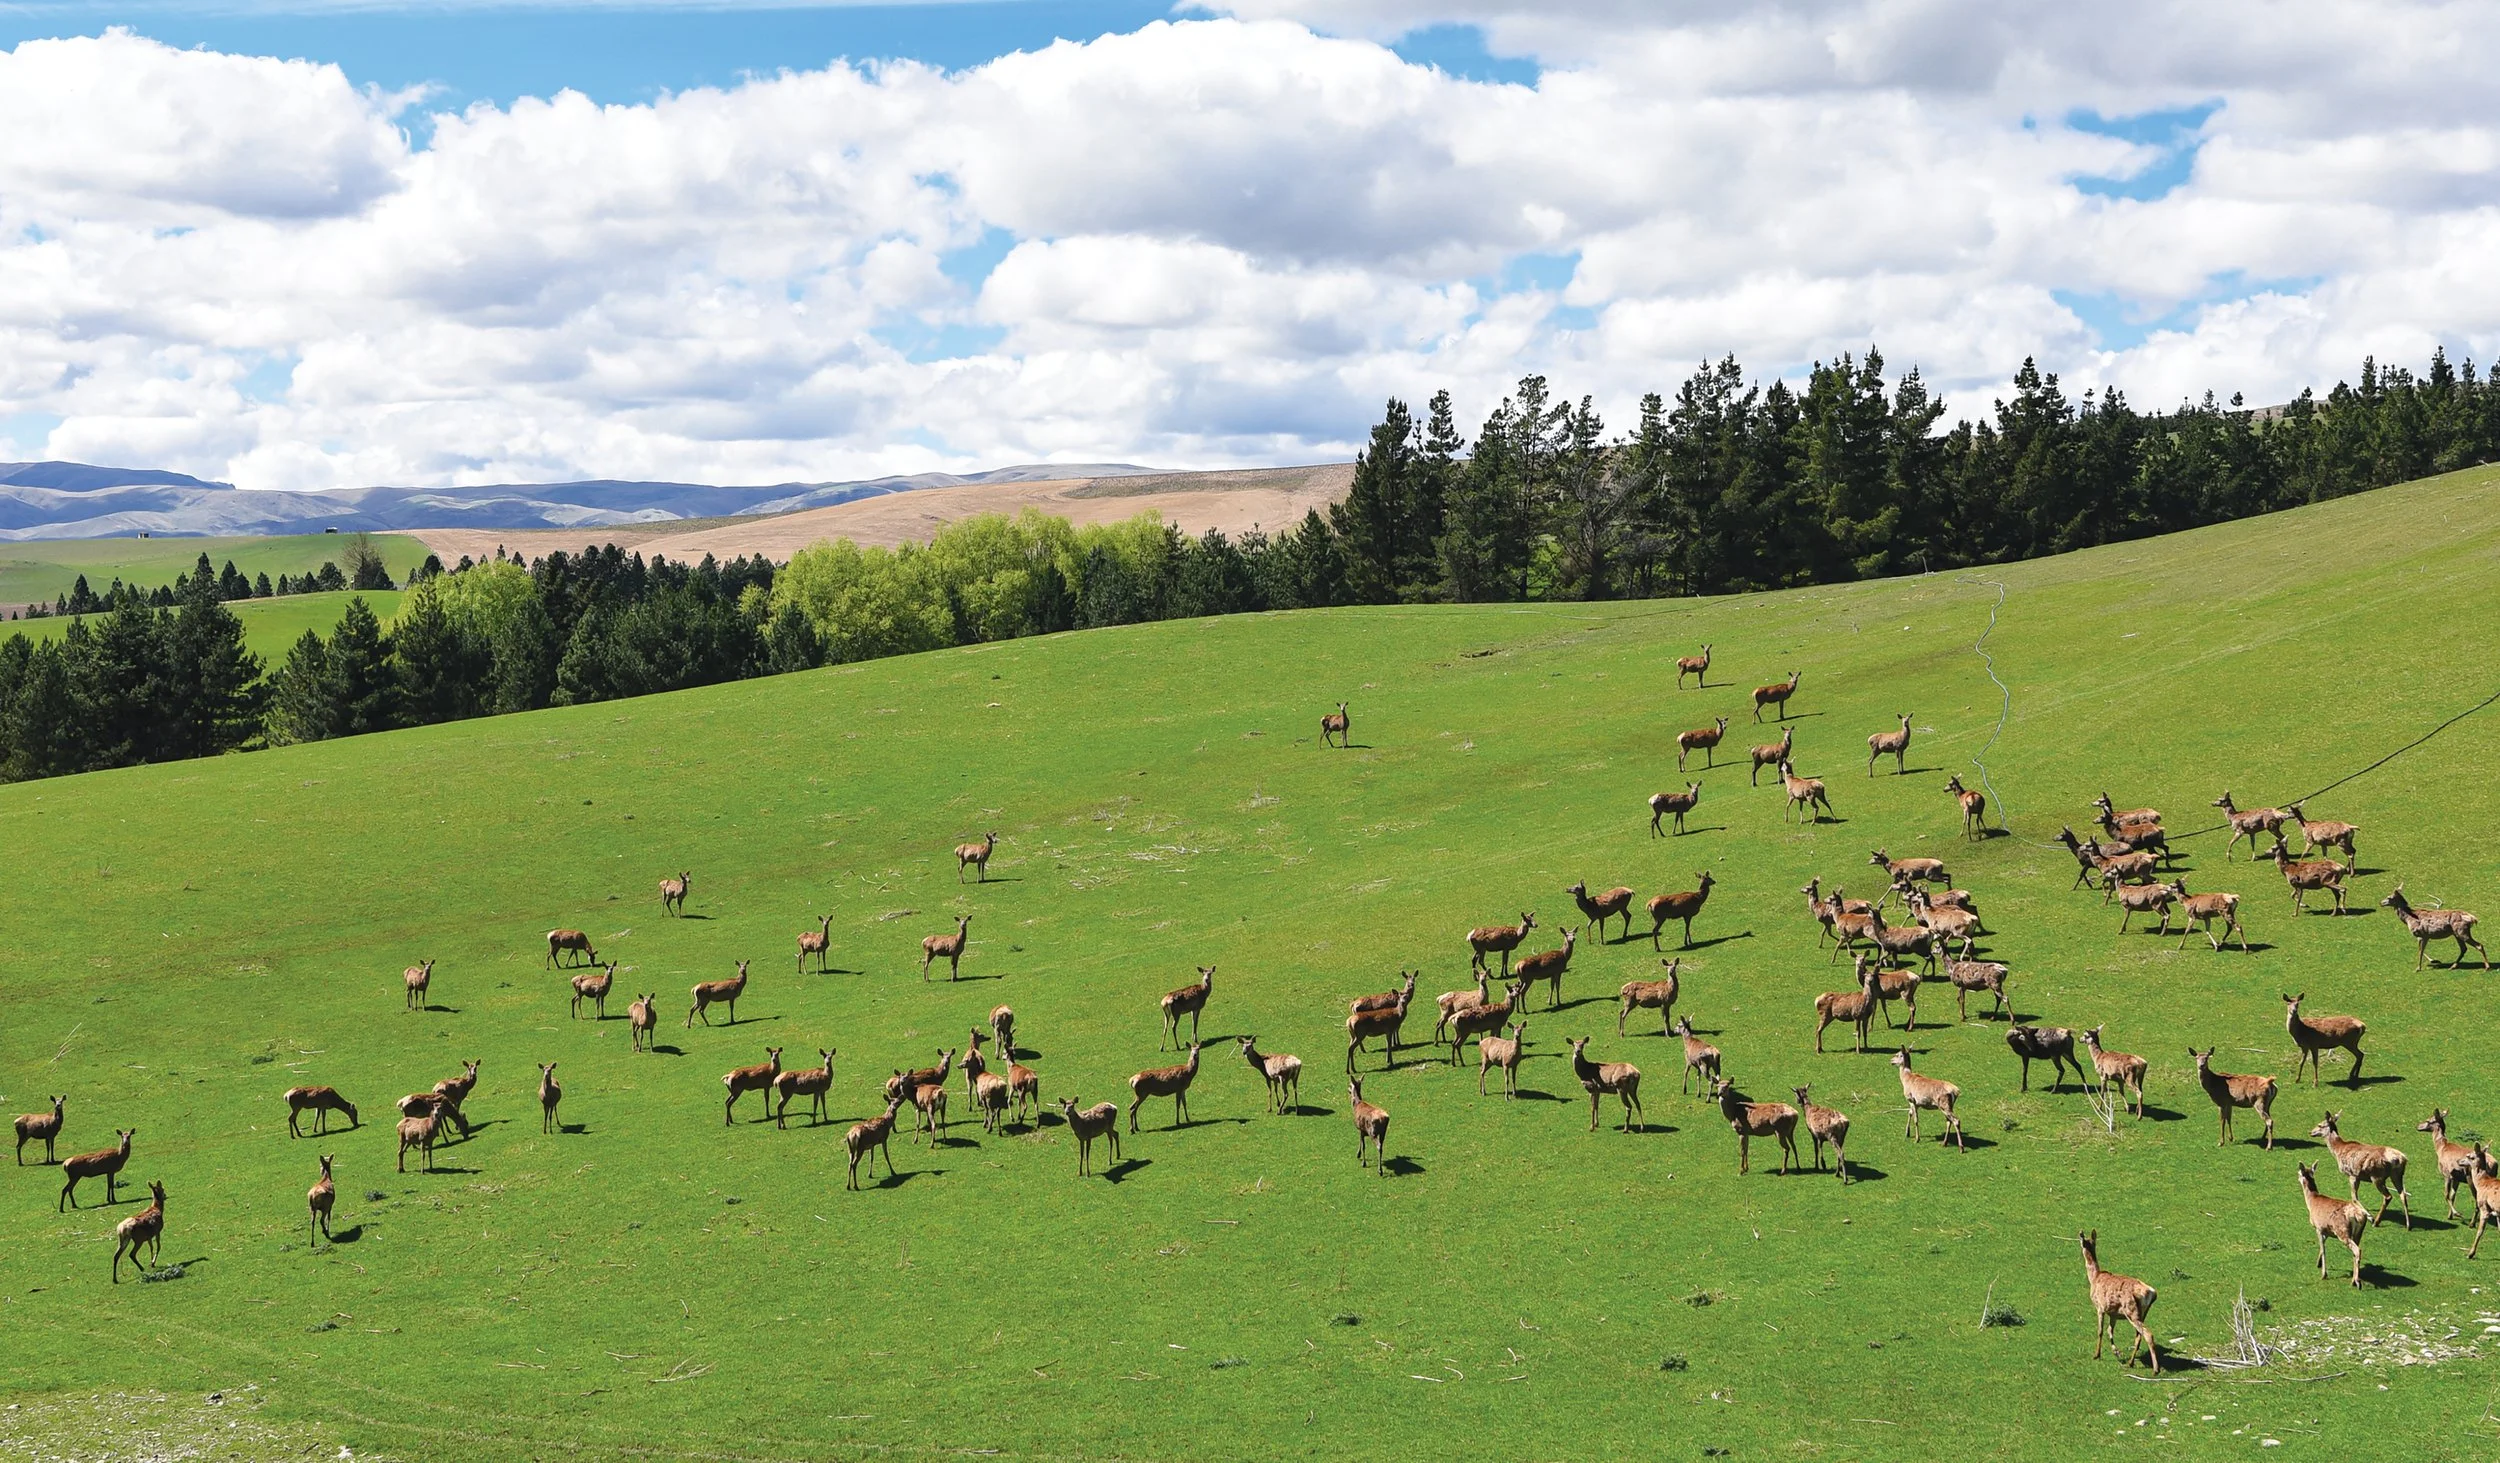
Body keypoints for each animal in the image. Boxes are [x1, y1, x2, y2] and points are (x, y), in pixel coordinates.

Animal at [2078, 1231, 2158, 1371]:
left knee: (2147, 1334)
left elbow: (2100, 1331)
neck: (2094, 1277)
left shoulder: (2100, 1307)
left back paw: (2155, 1369)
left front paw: (2096, 1355)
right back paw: (2130, 1362)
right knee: (2138, 1337)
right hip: (2143, 1313)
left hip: (2131, 1311)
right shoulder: (2113, 1313)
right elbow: (2109, 1330)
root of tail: (2151, 1292)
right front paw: (2117, 1352)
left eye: (2081, 1242)